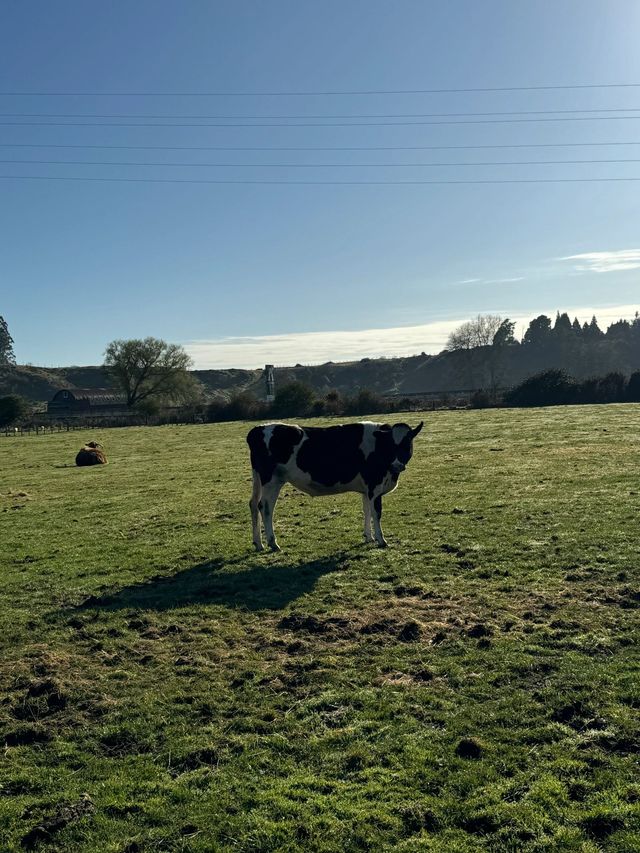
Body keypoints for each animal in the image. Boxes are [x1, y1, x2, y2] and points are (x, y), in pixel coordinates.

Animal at [248, 422, 422, 552]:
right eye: (391, 445)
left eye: (407, 444)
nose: (397, 465)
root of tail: (258, 429)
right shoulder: (374, 486)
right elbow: (376, 513)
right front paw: (381, 540)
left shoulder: (366, 489)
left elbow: (367, 511)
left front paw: (369, 537)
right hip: (272, 481)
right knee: (266, 507)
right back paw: (272, 542)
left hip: (259, 479)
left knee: (253, 504)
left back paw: (258, 543)